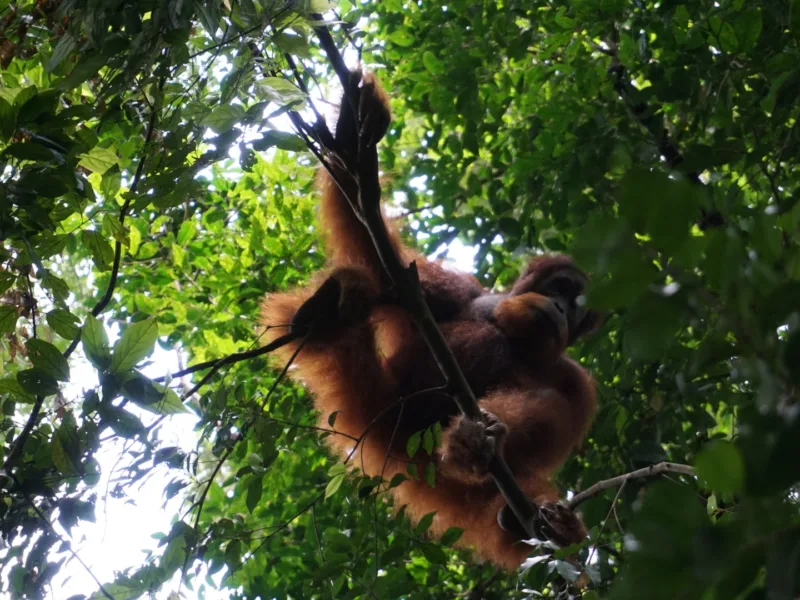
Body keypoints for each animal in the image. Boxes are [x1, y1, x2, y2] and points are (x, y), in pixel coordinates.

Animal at [259, 69, 601, 569]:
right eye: (560, 289)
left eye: (576, 306)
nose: (561, 308)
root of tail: (390, 446)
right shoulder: (456, 292)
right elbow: (384, 264)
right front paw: (355, 134)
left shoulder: (577, 382)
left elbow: (555, 417)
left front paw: (481, 444)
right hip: (387, 405)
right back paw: (325, 309)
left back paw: (510, 496)